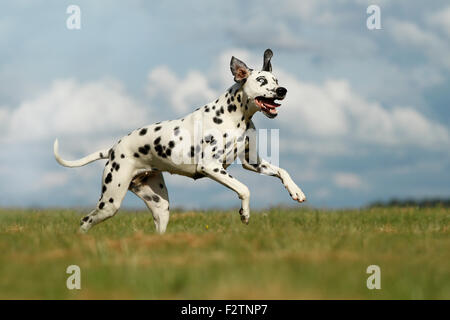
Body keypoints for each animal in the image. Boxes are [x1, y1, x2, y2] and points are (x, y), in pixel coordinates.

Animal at [52, 48, 306, 234]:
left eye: (276, 79)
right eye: (261, 80)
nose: (282, 90)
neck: (236, 117)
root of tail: (113, 149)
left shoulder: (252, 162)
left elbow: (282, 171)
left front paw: (296, 191)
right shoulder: (211, 167)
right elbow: (244, 189)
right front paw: (244, 214)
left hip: (159, 205)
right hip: (111, 200)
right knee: (86, 220)